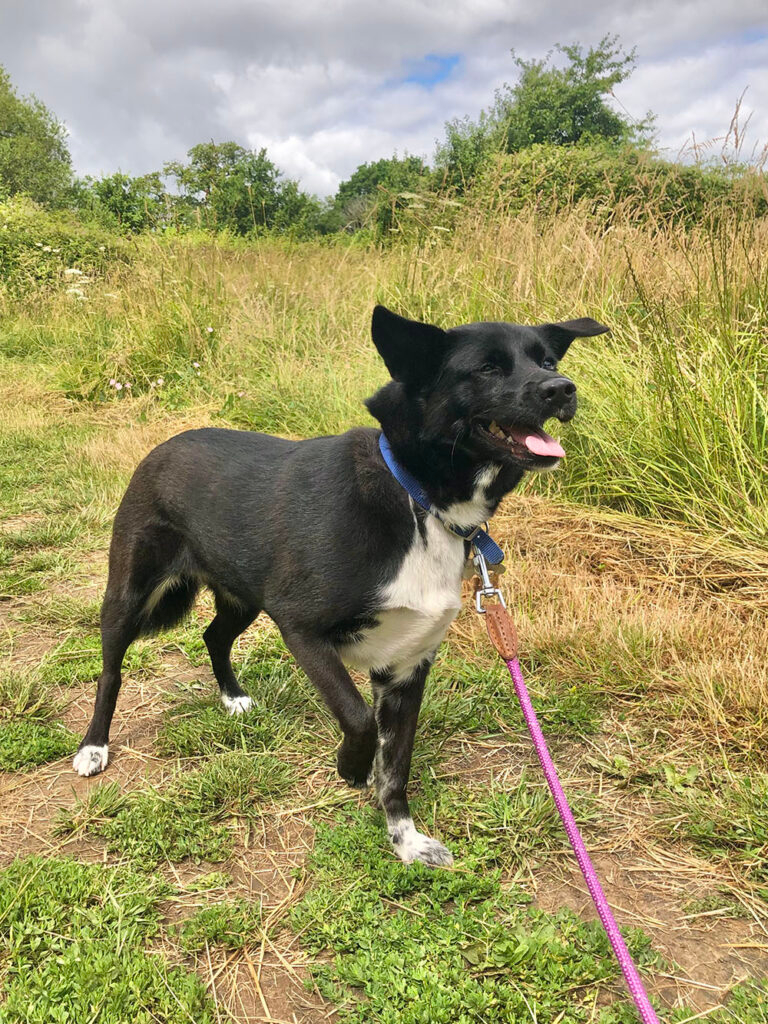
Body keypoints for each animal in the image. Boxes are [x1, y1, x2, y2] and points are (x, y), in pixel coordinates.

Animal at [73, 305, 608, 866]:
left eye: (546, 361)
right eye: (487, 368)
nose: (562, 389)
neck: (417, 499)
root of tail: (163, 447)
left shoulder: (407, 668)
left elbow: (396, 766)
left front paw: (405, 839)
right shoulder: (302, 630)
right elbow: (358, 718)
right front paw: (352, 767)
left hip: (244, 595)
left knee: (213, 636)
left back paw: (232, 696)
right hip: (129, 595)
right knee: (110, 671)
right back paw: (93, 747)